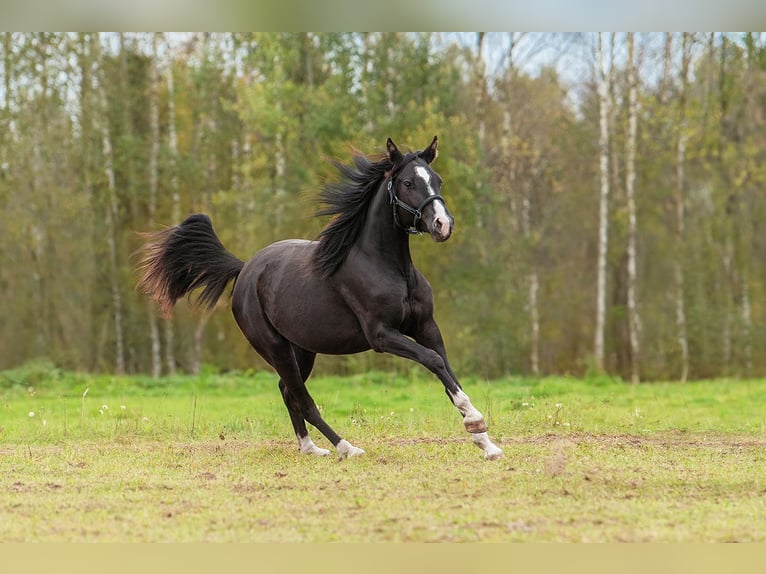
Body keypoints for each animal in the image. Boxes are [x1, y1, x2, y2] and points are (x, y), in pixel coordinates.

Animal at [140, 138, 504, 464]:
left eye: (437, 179)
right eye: (408, 182)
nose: (443, 225)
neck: (390, 267)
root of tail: (244, 270)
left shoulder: (427, 327)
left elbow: (446, 370)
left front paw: (486, 443)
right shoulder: (382, 335)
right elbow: (433, 361)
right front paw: (475, 423)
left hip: (303, 349)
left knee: (287, 391)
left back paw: (310, 448)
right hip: (275, 348)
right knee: (302, 398)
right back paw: (346, 448)